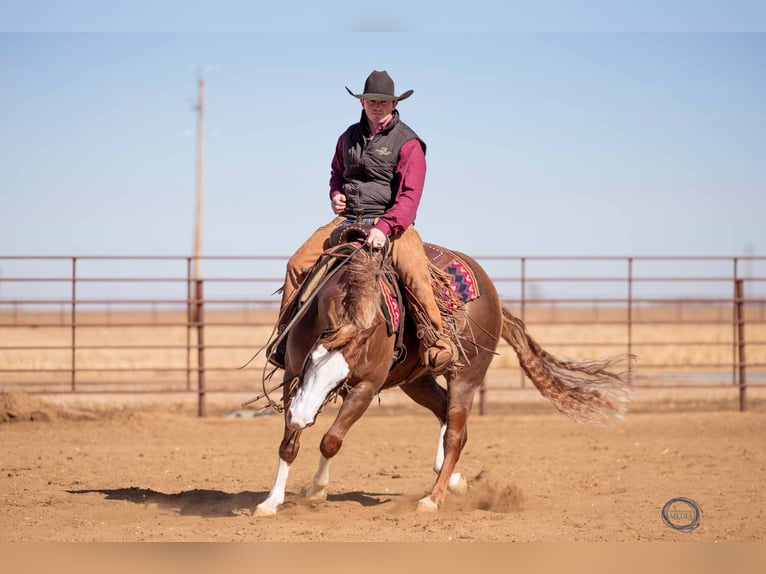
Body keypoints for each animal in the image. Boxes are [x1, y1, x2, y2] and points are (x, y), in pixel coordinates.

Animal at [254, 234, 633, 516]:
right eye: (312, 361)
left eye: (339, 378)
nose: (301, 416)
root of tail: (494, 297)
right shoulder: (292, 376)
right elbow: (289, 443)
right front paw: (272, 501)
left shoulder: (365, 387)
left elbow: (331, 440)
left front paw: (316, 490)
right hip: (416, 379)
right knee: (443, 412)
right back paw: (450, 480)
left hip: (467, 375)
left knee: (456, 433)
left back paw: (433, 498)